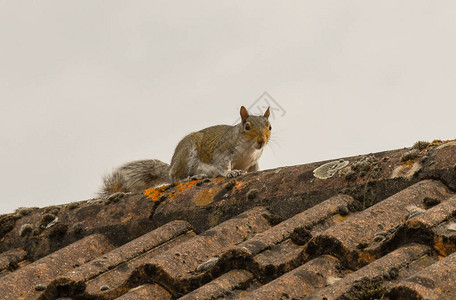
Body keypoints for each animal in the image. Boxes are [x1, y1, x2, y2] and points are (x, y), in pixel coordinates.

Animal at [100, 105, 270, 197]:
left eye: (270, 127)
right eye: (247, 126)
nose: (261, 141)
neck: (248, 150)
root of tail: (171, 166)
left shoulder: (253, 161)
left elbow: (254, 169)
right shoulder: (222, 152)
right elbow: (222, 165)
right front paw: (231, 173)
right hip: (187, 155)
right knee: (175, 178)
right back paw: (191, 177)